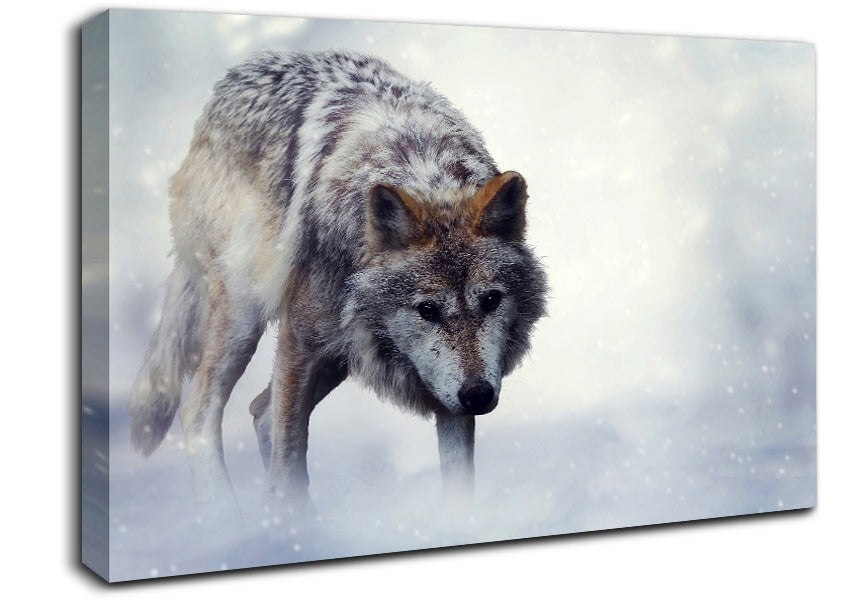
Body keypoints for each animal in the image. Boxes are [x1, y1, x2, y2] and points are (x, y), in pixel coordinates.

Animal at [129, 50, 547, 518]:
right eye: (427, 310)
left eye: (490, 300)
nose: (477, 394)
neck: (422, 174)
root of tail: (224, 89)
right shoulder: (300, 341)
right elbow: (288, 461)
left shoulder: (442, 388)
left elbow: (459, 484)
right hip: (246, 318)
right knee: (200, 411)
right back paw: (228, 517)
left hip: (340, 354)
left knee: (260, 412)